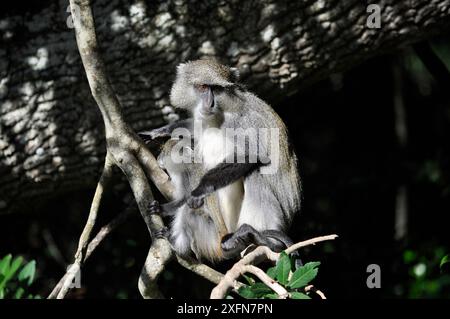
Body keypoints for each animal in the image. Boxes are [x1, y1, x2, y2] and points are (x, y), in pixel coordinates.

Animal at [140, 60, 302, 264]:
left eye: (216, 89)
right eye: (202, 87)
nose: (209, 103)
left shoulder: (239, 124)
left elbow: (250, 155)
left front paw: (200, 190)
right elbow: (193, 128)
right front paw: (160, 131)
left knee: (254, 172)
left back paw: (265, 240)